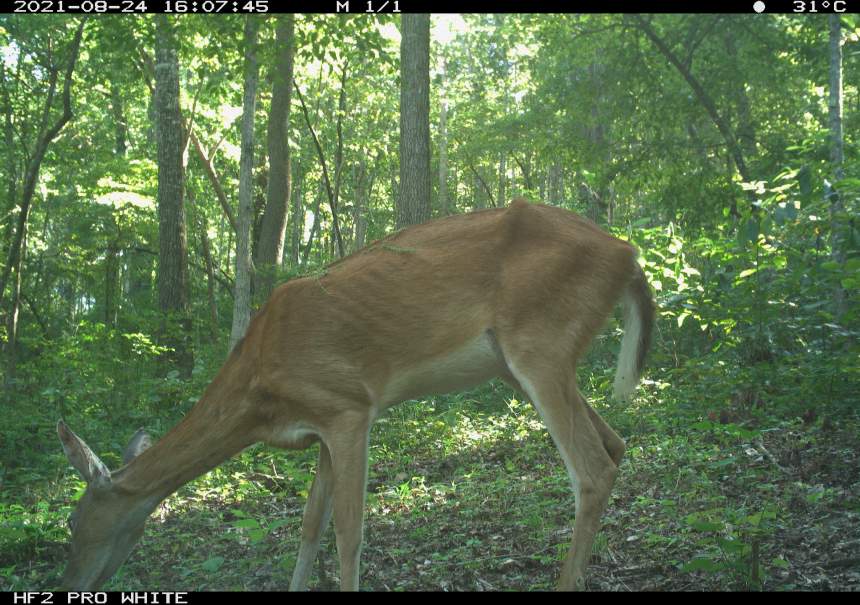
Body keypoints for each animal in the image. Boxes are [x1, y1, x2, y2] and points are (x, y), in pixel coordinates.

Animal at [57, 198, 655, 591]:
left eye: (71, 522)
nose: (69, 584)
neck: (259, 389)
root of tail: (628, 255)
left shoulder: (348, 407)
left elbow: (349, 532)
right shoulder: (319, 425)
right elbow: (309, 526)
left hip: (540, 343)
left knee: (591, 469)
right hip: (521, 363)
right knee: (616, 444)